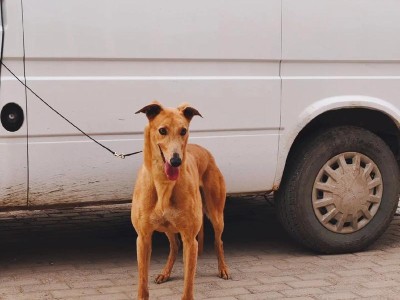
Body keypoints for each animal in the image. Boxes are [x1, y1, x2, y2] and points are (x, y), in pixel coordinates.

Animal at [132, 102, 228, 298]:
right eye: (162, 130)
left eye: (183, 130)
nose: (176, 161)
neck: (164, 184)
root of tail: (204, 150)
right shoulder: (143, 238)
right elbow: (143, 284)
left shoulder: (190, 240)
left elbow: (188, 286)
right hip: (168, 227)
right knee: (175, 246)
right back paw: (165, 273)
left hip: (216, 214)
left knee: (218, 241)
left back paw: (222, 269)